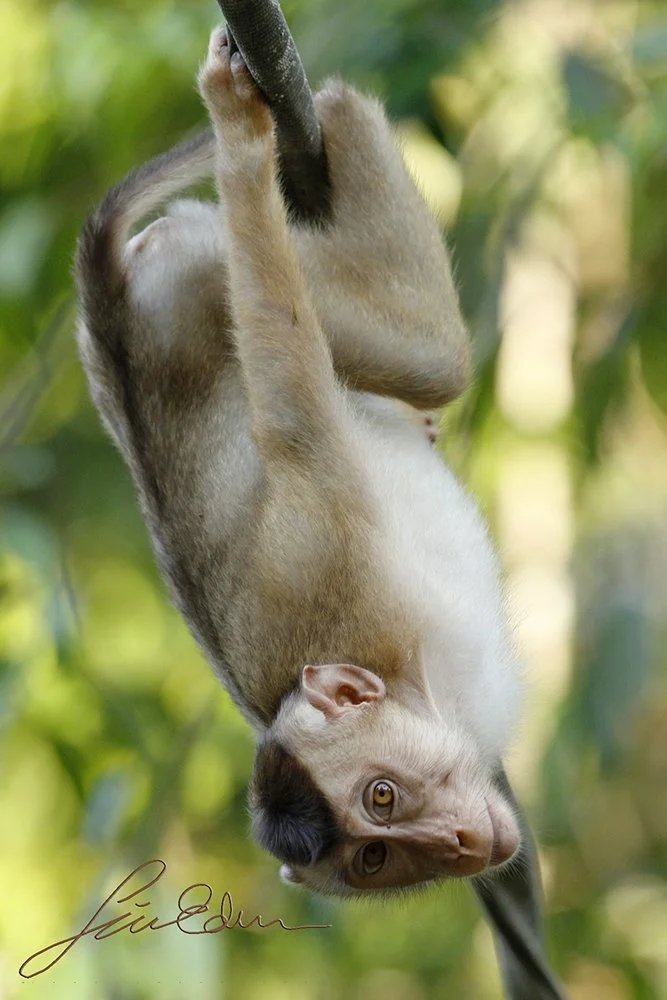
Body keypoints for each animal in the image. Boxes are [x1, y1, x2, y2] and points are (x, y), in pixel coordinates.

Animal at [74, 26, 523, 897]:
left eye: (380, 796)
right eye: (377, 856)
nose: (454, 843)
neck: (416, 685)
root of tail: (110, 314)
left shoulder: (332, 546)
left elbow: (286, 391)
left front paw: (242, 145)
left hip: (196, 269)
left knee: (427, 354)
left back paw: (328, 110)